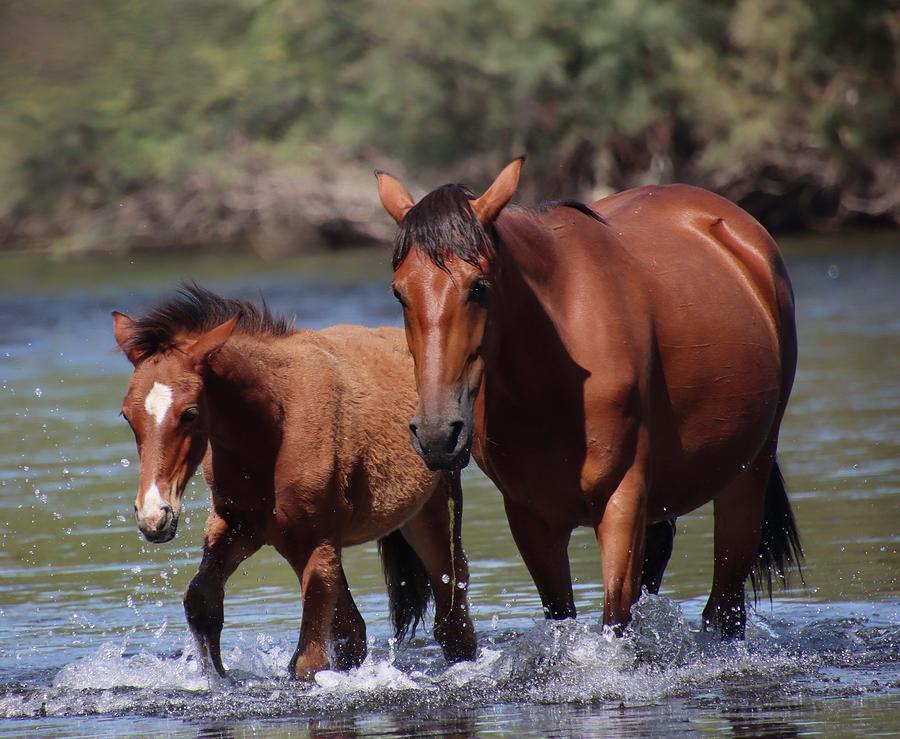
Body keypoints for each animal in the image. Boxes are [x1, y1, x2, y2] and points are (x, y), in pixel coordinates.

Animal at [113, 286, 478, 680]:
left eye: (190, 413)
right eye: (127, 415)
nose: (154, 516)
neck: (272, 431)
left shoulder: (316, 541)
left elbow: (308, 661)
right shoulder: (240, 526)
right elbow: (201, 601)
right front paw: (218, 679)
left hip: (428, 517)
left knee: (452, 621)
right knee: (354, 631)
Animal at [372, 159, 800, 640]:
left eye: (478, 286)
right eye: (399, 293)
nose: (437, 435)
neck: (551, 387)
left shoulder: (622, 500)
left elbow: (615, 619)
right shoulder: (531, 519)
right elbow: (562, 616)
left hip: (747, 478)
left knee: (724, 607)